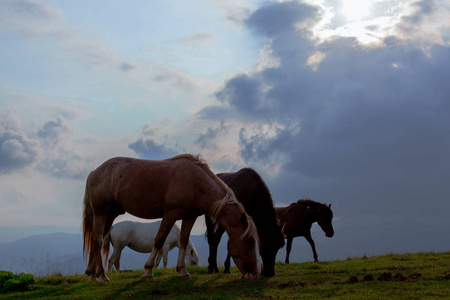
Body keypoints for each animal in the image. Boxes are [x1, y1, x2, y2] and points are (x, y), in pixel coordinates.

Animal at [81, 155, 260, 282]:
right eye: (251, 242)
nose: (255, 273)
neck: (196, 182)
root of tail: (94, 172)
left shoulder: (189, 217)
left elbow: (183, 241)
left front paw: (183, 271)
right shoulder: (170, 214)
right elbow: (159, 240)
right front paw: (148, 271)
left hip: (110, 214)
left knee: (96, 240)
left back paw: (91, 274)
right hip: (101, 213)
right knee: (98, 240)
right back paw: (102, 275)